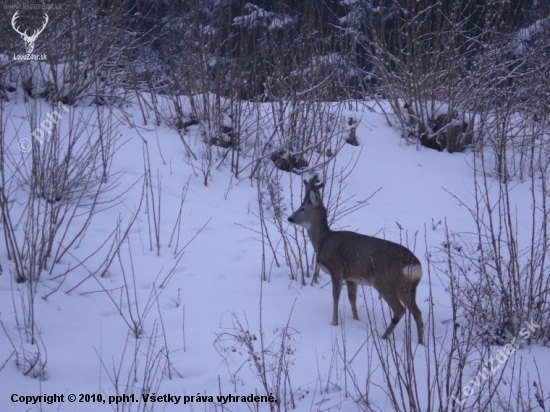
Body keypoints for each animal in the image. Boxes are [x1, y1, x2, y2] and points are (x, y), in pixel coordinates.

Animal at [288, 175, 426, 344]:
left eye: (302, 208)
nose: (290, 218)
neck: (323, 241)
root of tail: (415, 265)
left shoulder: (337, 267)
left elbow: (336, 295)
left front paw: (334, 322)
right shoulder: (351, 277)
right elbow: (351, 299)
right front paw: (356, 320)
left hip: (384, 280)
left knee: (400, 310)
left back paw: (383, 337)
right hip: (408, 287)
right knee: (417, 312)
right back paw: (420, 342)